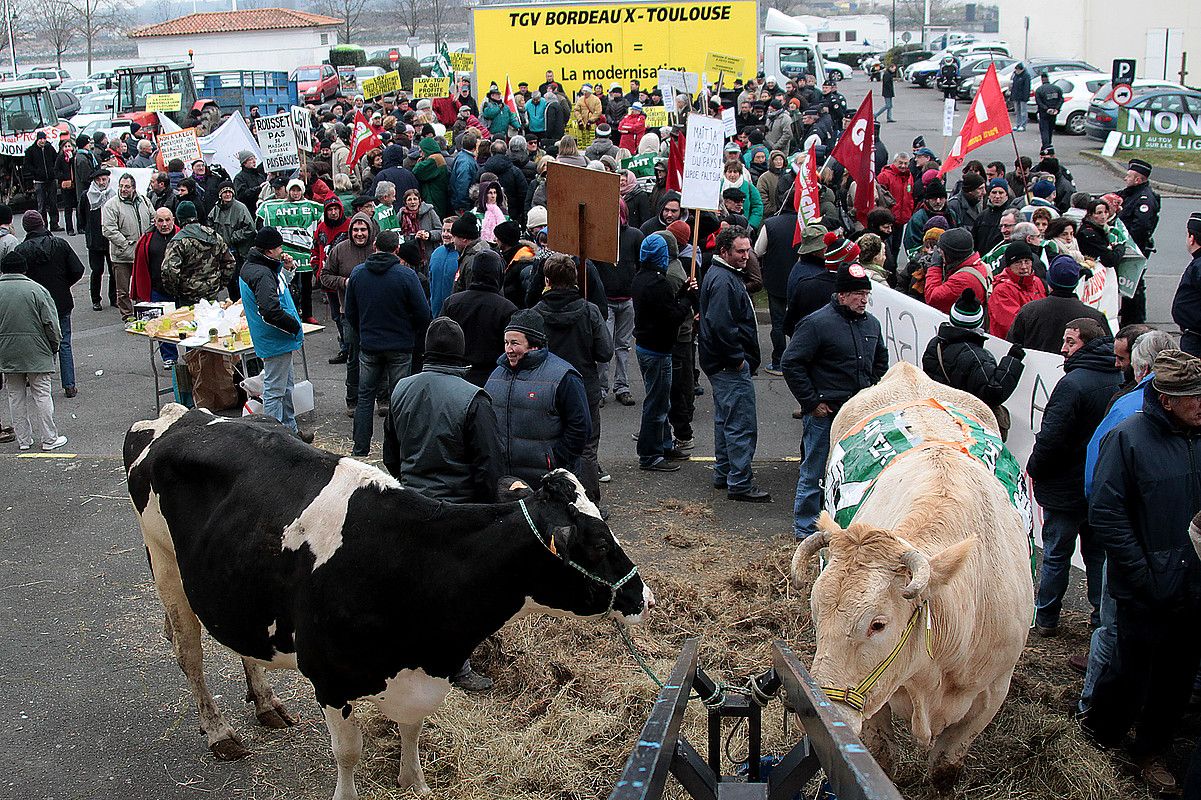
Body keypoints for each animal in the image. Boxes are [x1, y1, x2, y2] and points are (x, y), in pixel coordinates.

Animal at [124, 406, 648, 797]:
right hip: (164, 561)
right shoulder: (329, 679)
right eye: (597, 544)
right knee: (190, 654)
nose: (642, 594)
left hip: (235, 583)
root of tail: (180, 413)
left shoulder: (419, 673)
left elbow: (411, 727)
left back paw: (267, 703)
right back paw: (219, 732)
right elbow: (348, 752)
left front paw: (413, 782)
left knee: (243, 644)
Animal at [787, 365, 1032, 787]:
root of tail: (908, 373)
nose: (821, 714)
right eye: (816, 613)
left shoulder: (992, 692)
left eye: (878, 624)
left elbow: (945, 768)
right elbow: (882, 757)